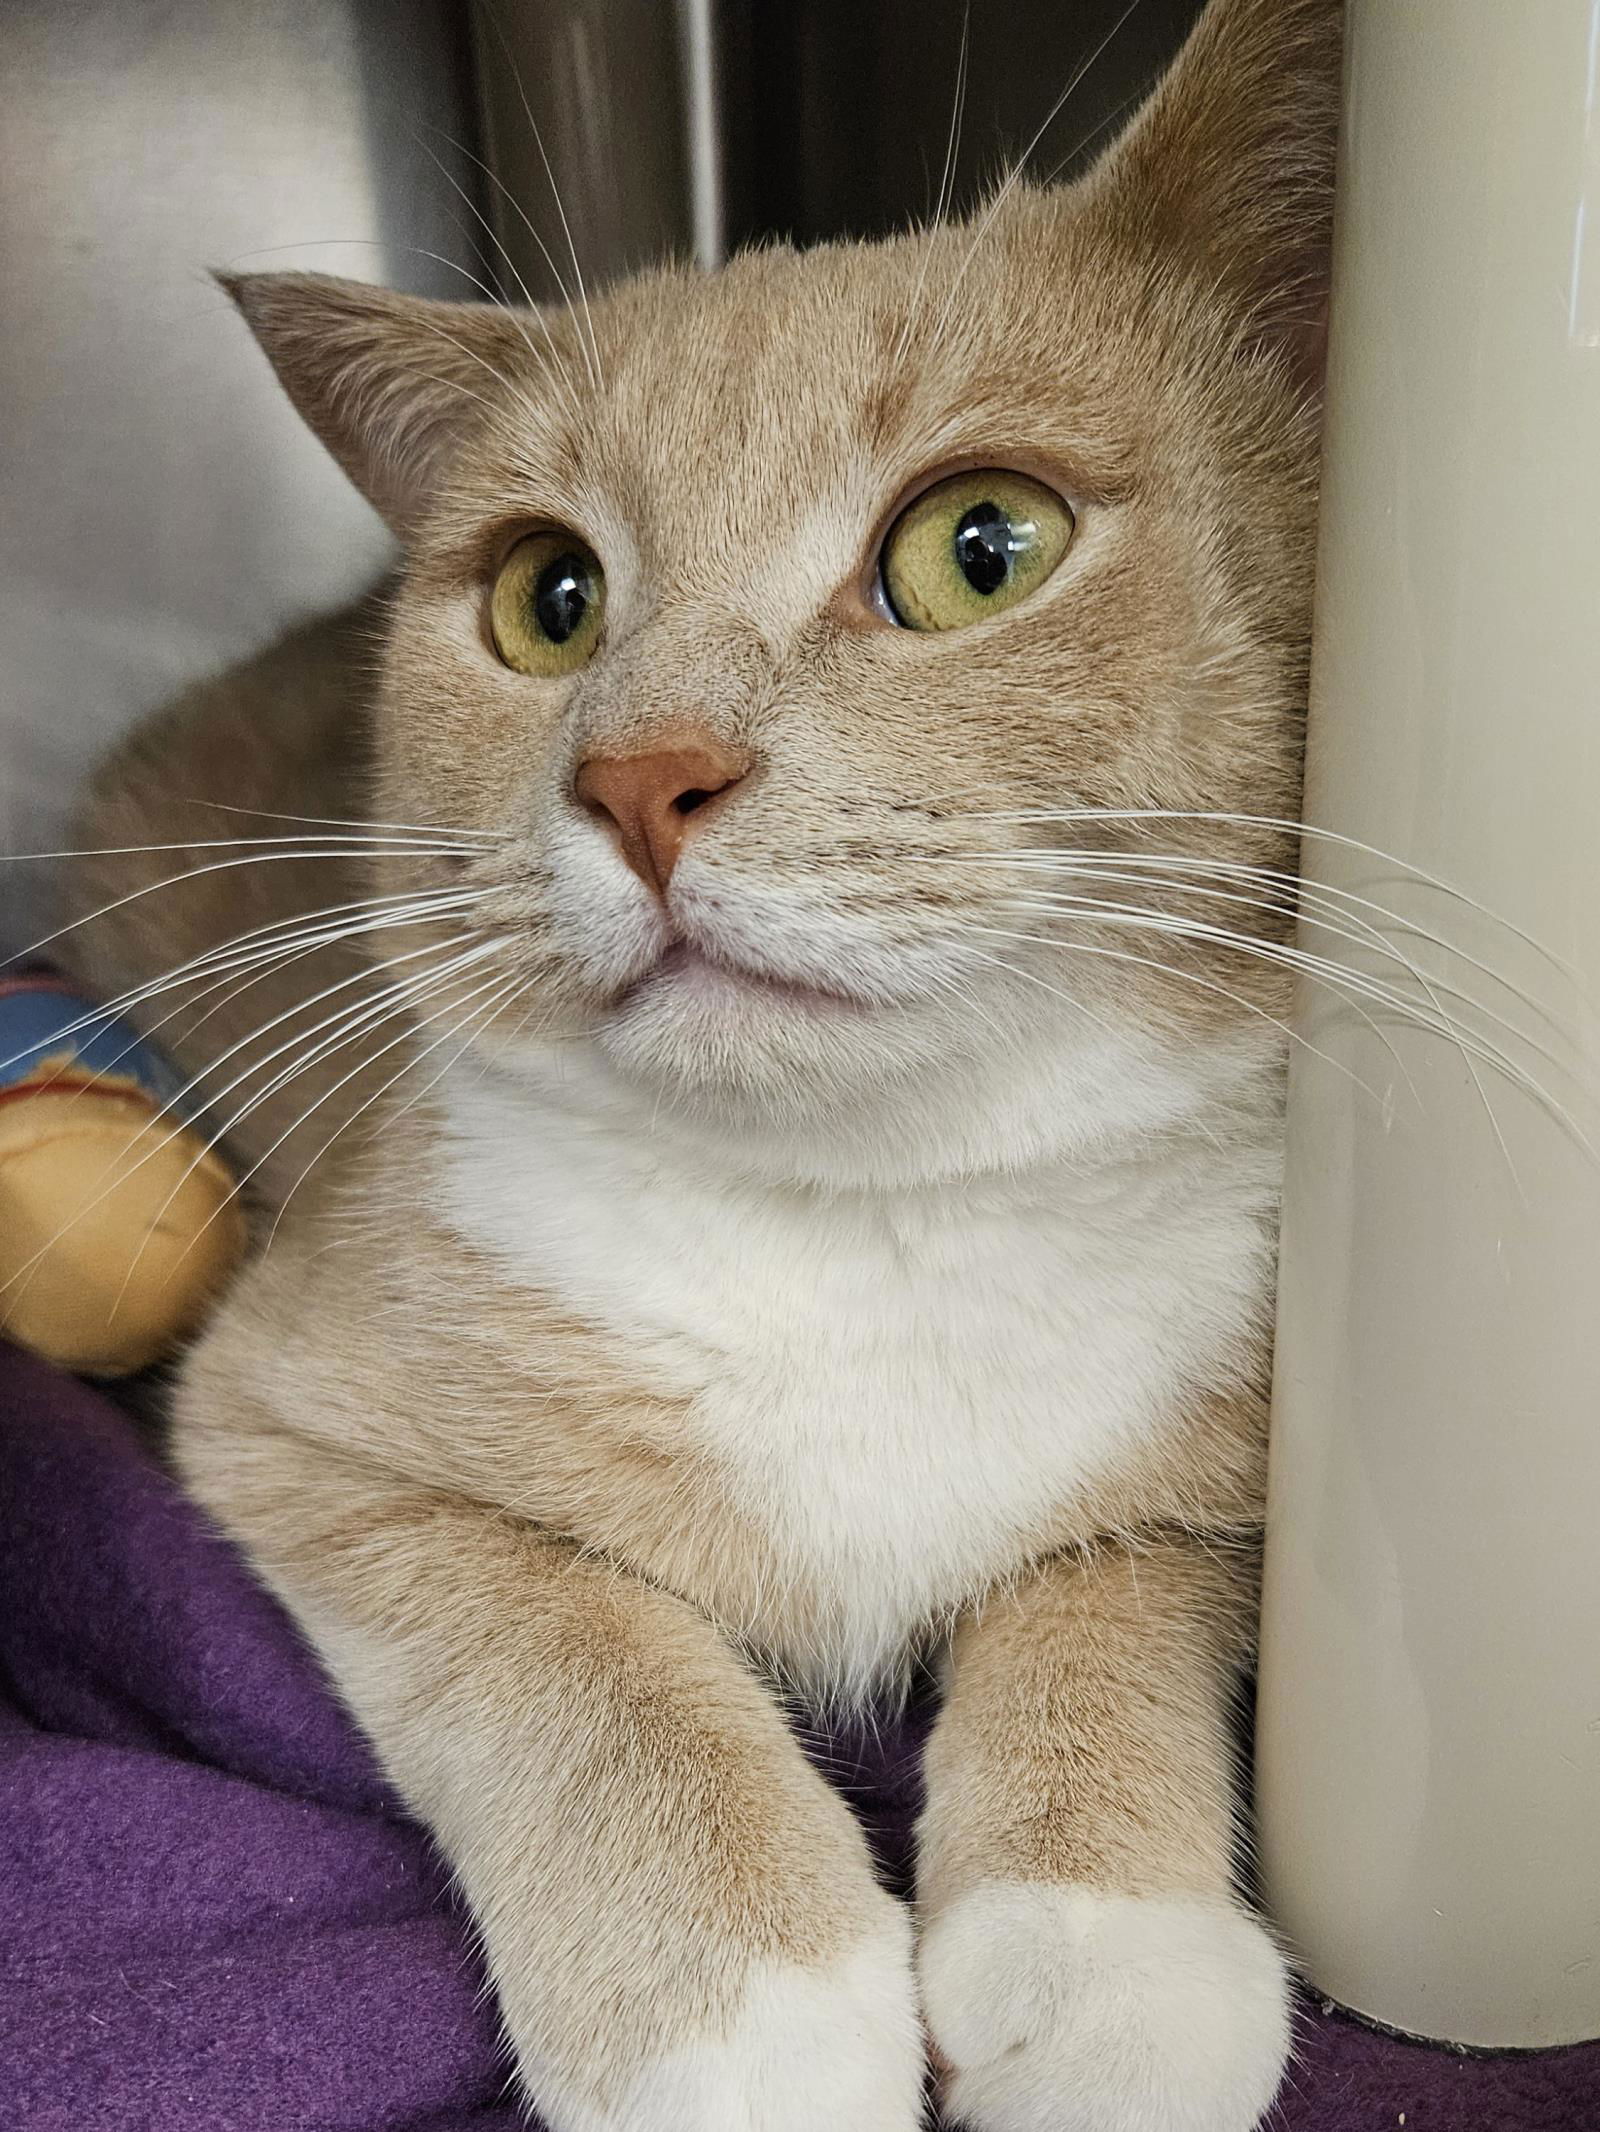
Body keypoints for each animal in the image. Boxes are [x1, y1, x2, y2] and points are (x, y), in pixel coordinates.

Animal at [59, 0, 1339, 2123]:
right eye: (546, 594)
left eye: (983, 547)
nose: (641, 775)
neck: (868, 1220)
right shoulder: (290, 1414)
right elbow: (570, 1631)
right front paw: (740, 2006)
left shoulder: (1222, 1443)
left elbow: (1110, 1575)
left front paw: (1105, 1946)